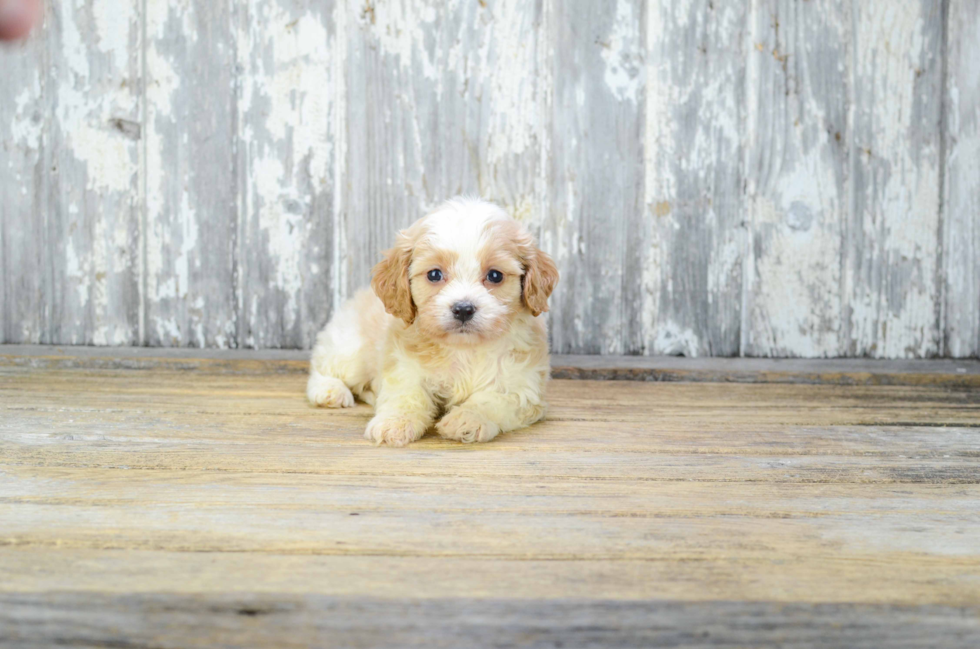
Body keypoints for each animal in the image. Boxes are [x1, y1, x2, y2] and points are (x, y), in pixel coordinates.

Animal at [310, 197, 564, 446]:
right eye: (434, 274)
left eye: (495, 275)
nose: (463, 309)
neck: (464, 349)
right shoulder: (404, 366)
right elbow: (407, 395)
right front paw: (394, 422)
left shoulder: (522, 385)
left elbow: (492, 400)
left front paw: (467, 419)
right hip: (351, 349)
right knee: (324, 367)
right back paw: (329, 390)